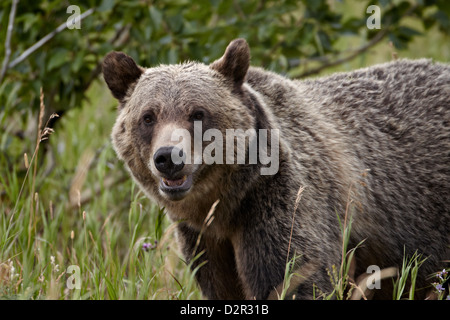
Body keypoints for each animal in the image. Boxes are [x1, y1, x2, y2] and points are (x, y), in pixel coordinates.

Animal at [103, 38, 450, 298]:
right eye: (148, 116)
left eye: (198, 113)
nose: (169, 157)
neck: (225, 205)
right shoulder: (204, 241)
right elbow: (220, 286)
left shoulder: (281, 205)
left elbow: (295, 278)